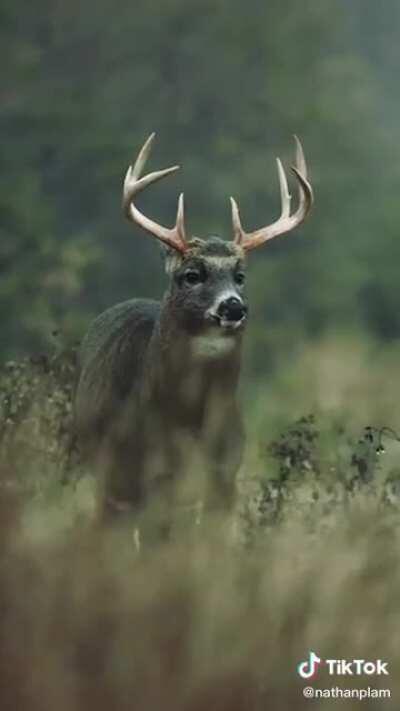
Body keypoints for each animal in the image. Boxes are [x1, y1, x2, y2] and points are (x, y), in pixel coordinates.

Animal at [74, 133, 313, 530]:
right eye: (191, 274)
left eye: (240, 276)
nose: (234, 307)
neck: (182, 419)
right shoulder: (128, 471)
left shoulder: (225, 473)